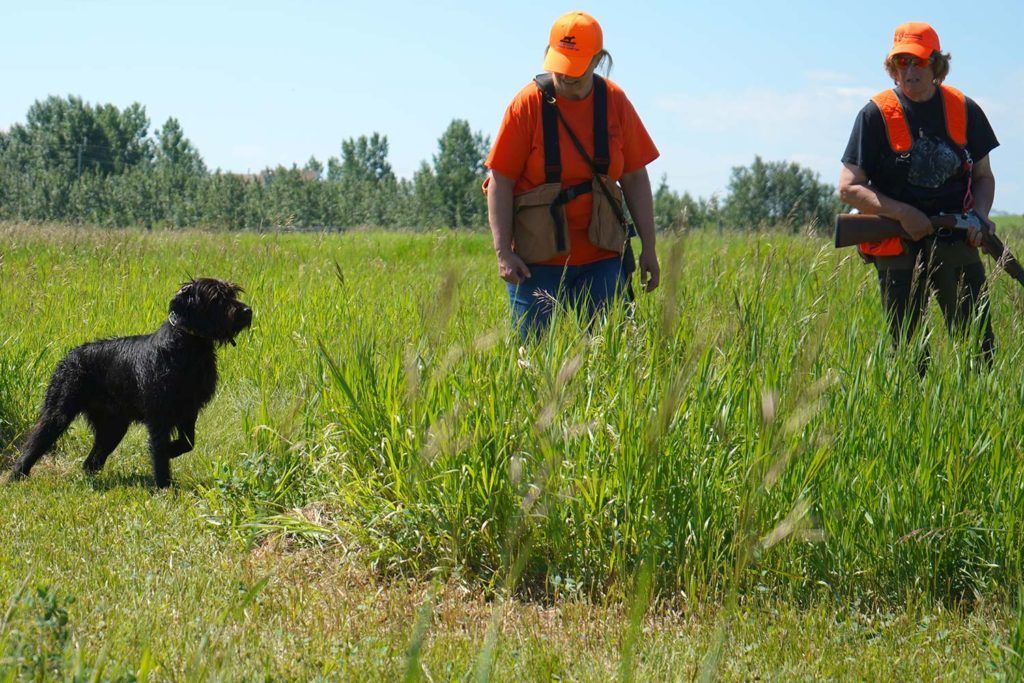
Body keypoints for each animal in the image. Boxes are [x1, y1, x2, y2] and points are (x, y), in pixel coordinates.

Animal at [12, 276, 253, 485]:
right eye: (216, 298)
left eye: (232, 293)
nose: (246, 311)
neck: (188, 346)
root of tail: (69, 356)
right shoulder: (159, 415)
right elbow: (159, 452)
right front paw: (164, 486)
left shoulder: (188, 410)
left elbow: (187, 443)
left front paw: (172, 451)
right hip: (58, 413)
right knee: (34, 443)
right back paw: (15, 477)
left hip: (113, 426)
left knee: (91, 462)